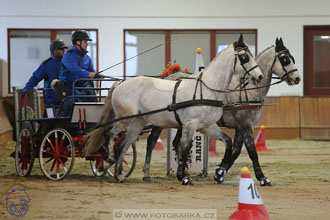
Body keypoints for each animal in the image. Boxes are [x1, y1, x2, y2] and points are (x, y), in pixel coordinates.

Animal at [84, 35, 262, 184]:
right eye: (245, 57)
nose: (260, 76)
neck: (207, 89)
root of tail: (120, 83)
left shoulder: (207, 126)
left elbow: (228, 142)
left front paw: (219, 171)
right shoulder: (190, 125)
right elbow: (184, 148)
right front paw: (184, 177)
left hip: (138, 122)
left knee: (124, 144)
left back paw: (119, 174)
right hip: (125, 119)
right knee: (110, 134)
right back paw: (107, 161)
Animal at [141, 37, 300, 186]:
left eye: (292, 58)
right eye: (285, 59)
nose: (297, 78)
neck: (248, 91)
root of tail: (168, 76)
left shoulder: (240, 127)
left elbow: (235, 151)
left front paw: (220, 172)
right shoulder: (246, 126)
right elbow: (252, 152)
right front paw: (262, 178)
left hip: (181, 123)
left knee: (176, 143)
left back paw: (185, 171)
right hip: (162, 121)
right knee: (152, 141)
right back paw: (148, 174)